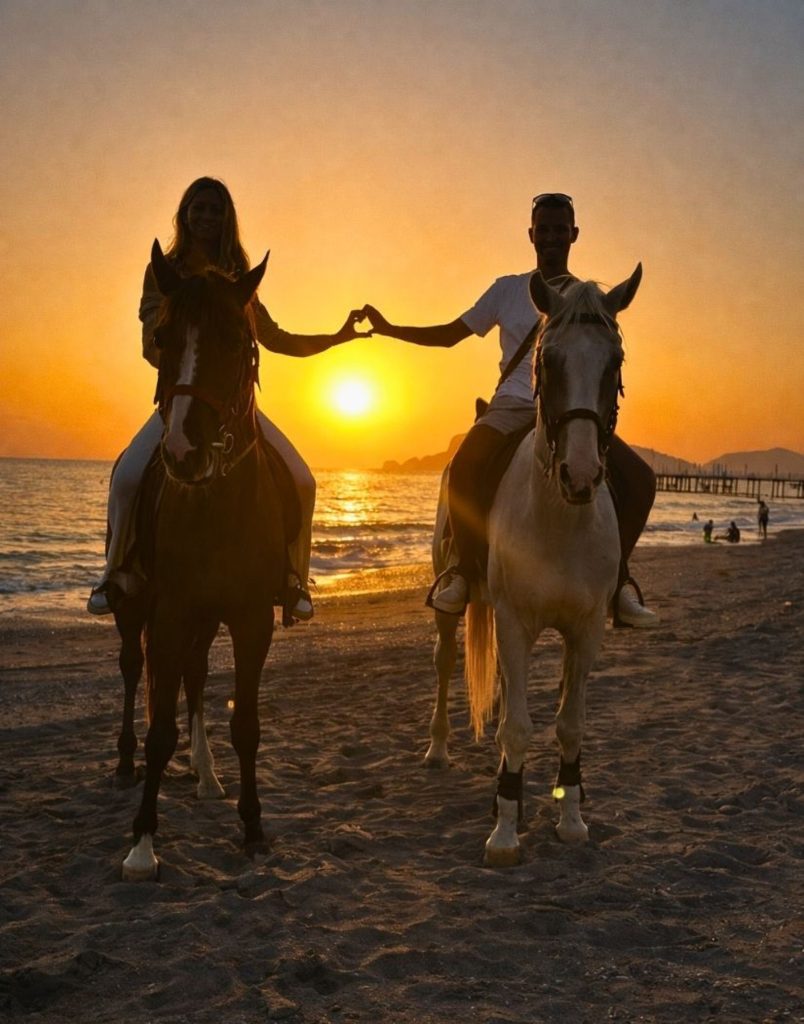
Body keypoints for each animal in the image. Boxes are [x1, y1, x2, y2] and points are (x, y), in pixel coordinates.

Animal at [119, 240, 286, 881]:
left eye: (238, 342)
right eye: (164, 337)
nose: (184, 452)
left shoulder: (250, 619)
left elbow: (246, 726)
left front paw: (253, 827)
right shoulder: (169, 614)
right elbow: (159, 729)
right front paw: (142, 840)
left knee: (193, 675)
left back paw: (207, 774)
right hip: (138, 607)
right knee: (135, 670)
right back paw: (130, 763)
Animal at [428, 265, 642, 866]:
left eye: (615, 361)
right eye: (547, 360)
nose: (581, 474)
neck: (558, 518)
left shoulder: (585, 630)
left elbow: (569, 725)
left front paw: (570, 816)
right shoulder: (514, 623)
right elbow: (517, 727)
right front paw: (504, 832)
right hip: (459, 606)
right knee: (446, 662)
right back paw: (438, 748)